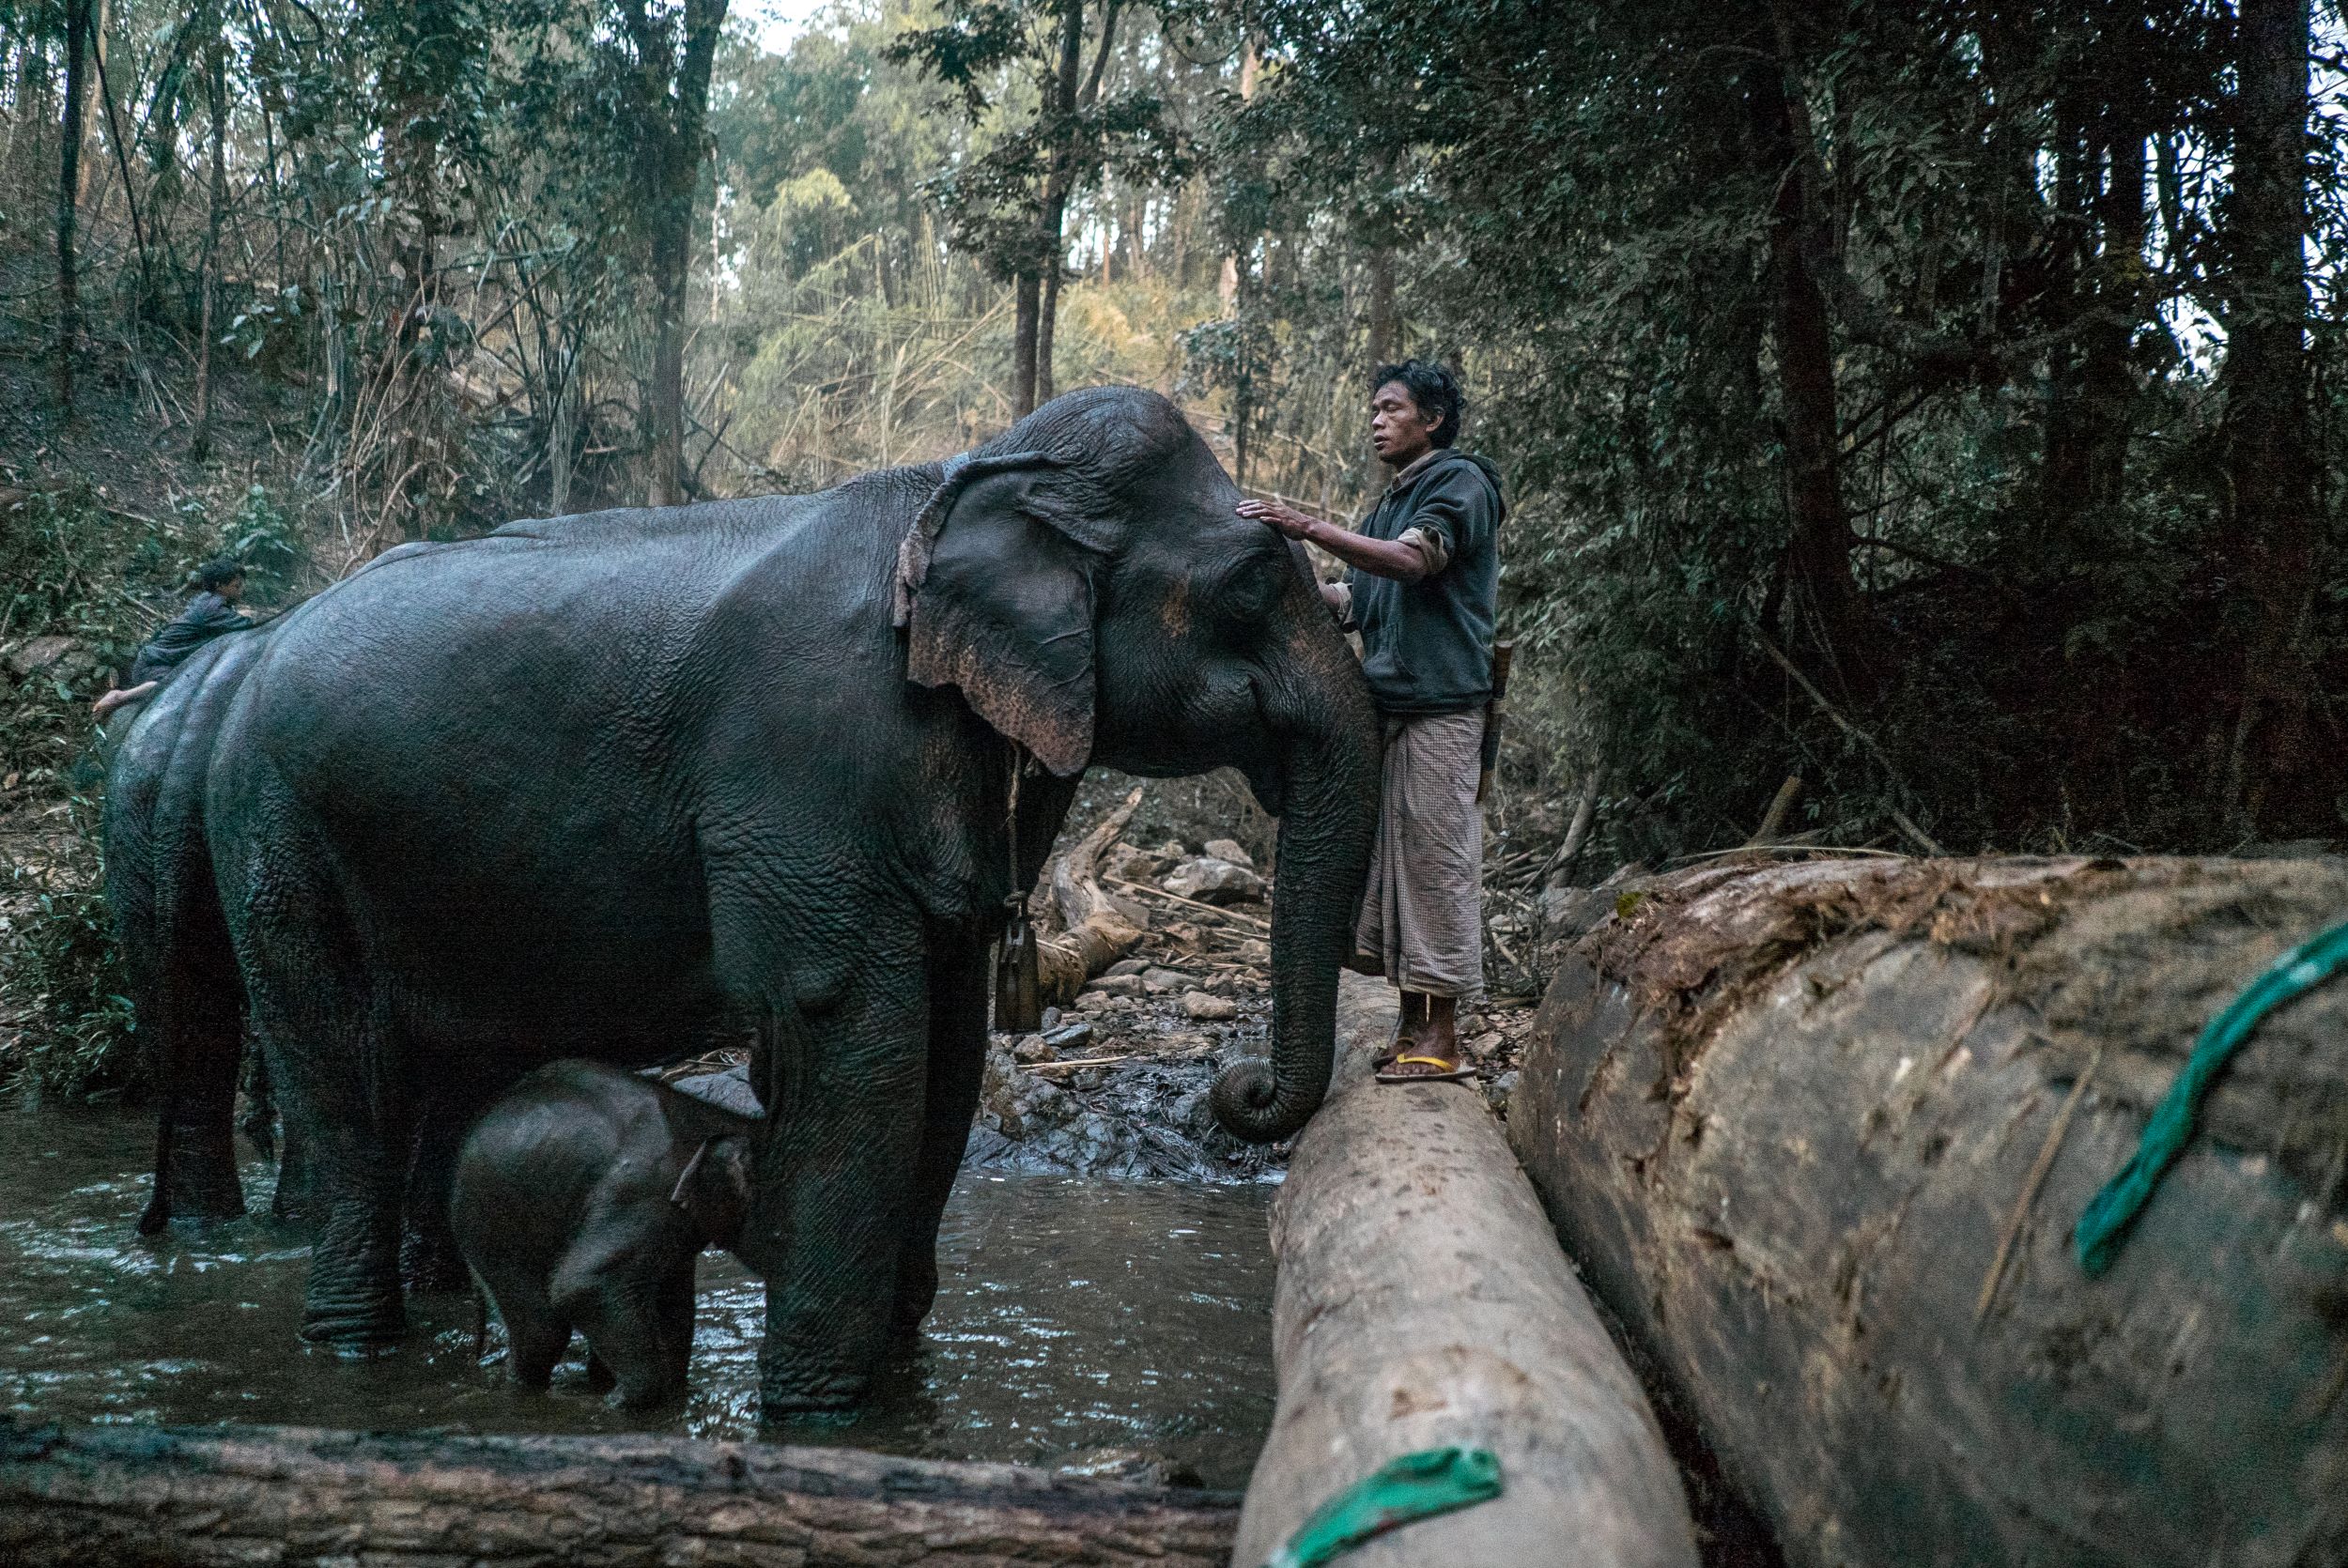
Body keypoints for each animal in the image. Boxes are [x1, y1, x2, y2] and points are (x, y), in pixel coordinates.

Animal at [451, 1052, 761, 1408]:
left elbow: (675, 1309)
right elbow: (581, 1286)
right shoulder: (642, 1197)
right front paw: (615, 1404)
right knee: (541, 1331)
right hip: (494, 1222)